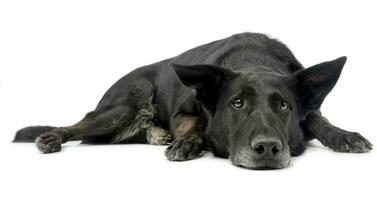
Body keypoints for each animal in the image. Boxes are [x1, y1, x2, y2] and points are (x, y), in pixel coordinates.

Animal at [13, 32, 372, 169]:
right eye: (237, 104)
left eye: (284, 105)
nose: (268, 149)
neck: (253, 60)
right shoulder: (184, 113)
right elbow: (195, 124)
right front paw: (187, 143)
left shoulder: (308, 111)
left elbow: (319, 120)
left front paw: (345, 136)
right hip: (125, 105)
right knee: (79, 127)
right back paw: (52, 137)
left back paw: (154, 134)